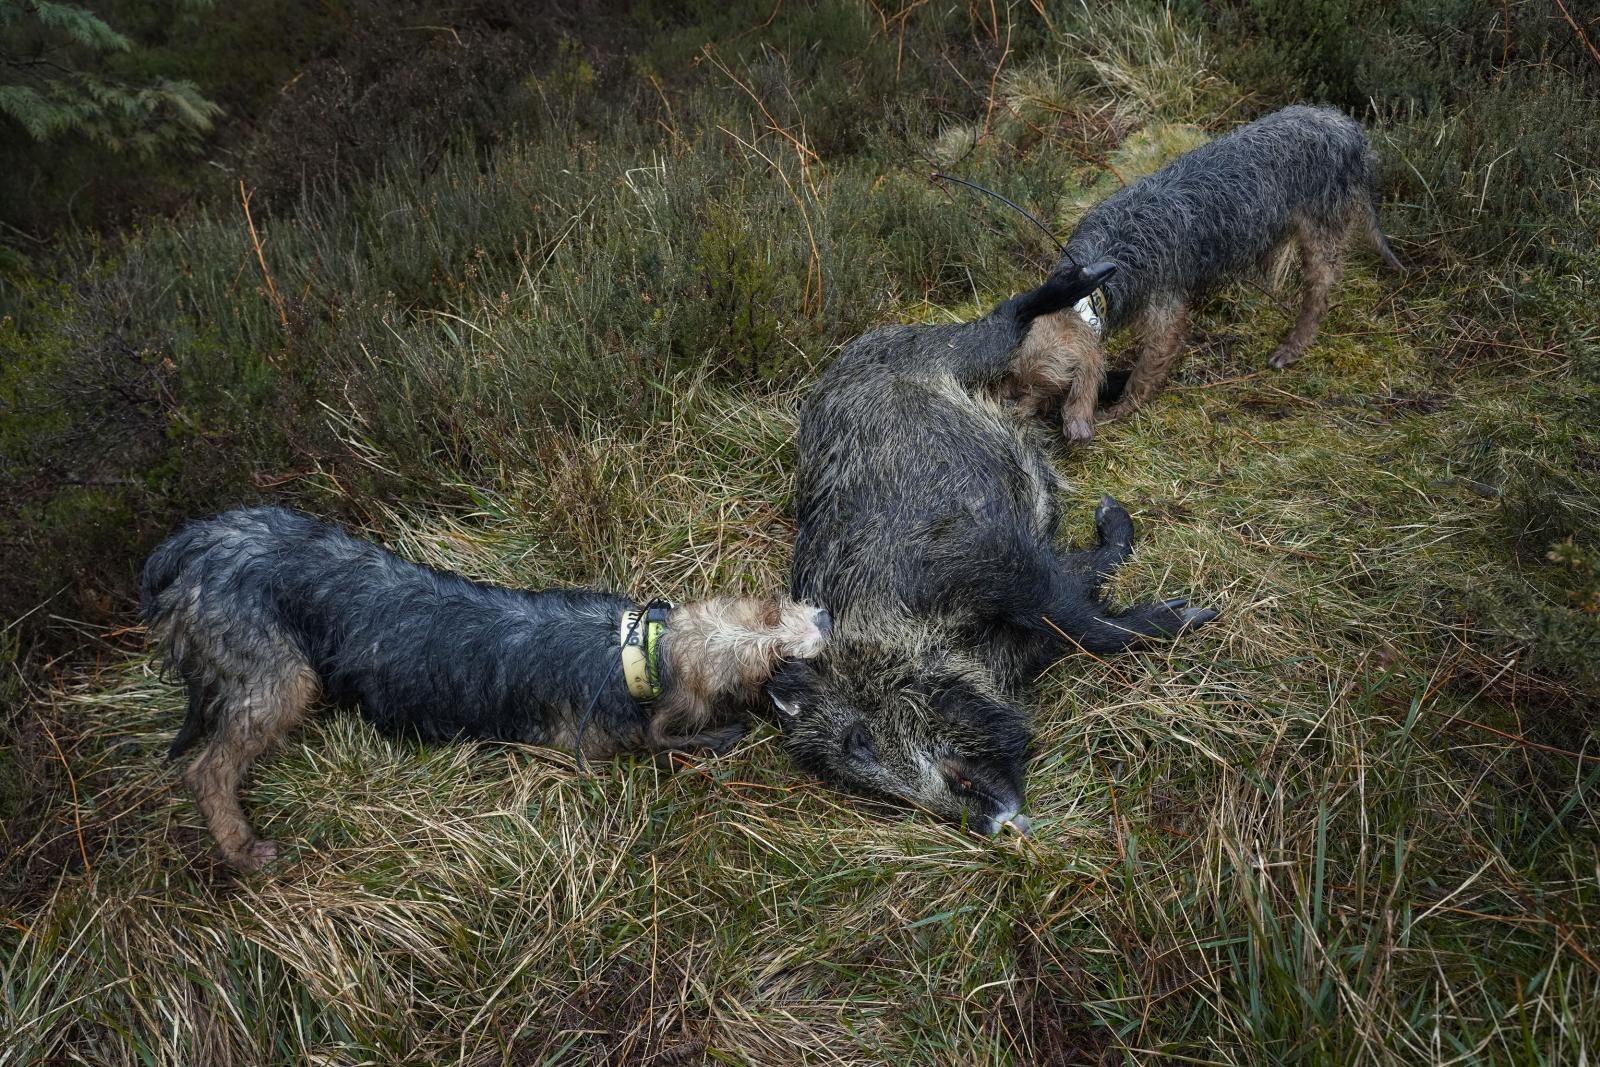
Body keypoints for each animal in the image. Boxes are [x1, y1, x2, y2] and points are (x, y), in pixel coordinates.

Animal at [144, 508, 832, 870]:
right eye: (768, 660)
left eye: (768, 608)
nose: (824, 618)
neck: (638, 650)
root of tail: (191, 548)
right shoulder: (598, 742)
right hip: (280, 678)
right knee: (206, 769)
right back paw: (241, 847)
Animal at [771, 265, 1209, 831]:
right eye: (855, 783)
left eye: (858, 741)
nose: (998, 824)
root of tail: (856, 347)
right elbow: (1082, 585)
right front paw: (1119, 527)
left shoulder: (993, 557)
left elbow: (1081, 621)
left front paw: (1196, 614)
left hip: (959, 348)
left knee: (1007, 317)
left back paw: (1087, 278)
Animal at [1004, 106, 1408, 441]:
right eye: (1015, 380)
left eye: (1046, 388)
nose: (1010, 419)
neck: (1103, 262)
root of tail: (1346, 126)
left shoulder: (1166, 312)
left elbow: (1145, 372)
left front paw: (1117, 410)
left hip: (1322, 230)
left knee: (1319, 293)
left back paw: (1292, 347)